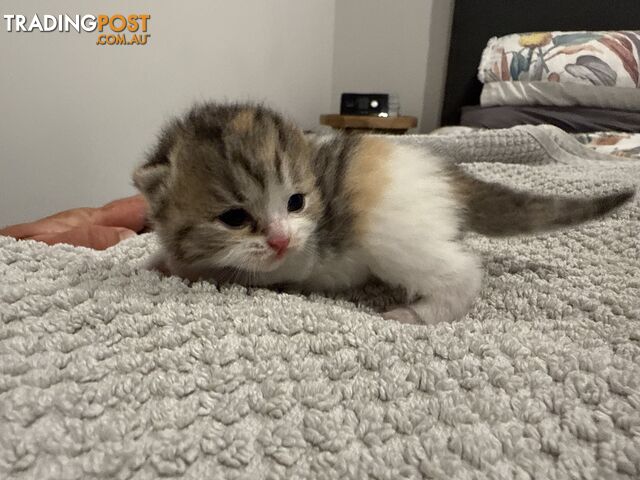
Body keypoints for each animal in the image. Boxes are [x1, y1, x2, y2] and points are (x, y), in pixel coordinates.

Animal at [134, 102, 636, 324]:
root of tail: (443, 171)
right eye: (234, 218)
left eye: (296, 202)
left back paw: (417, 314)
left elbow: (246, 272)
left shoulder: (298, 256)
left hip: (394, 236)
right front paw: (158, 260)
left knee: (463, 273)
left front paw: (187, 269)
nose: (279, 238)